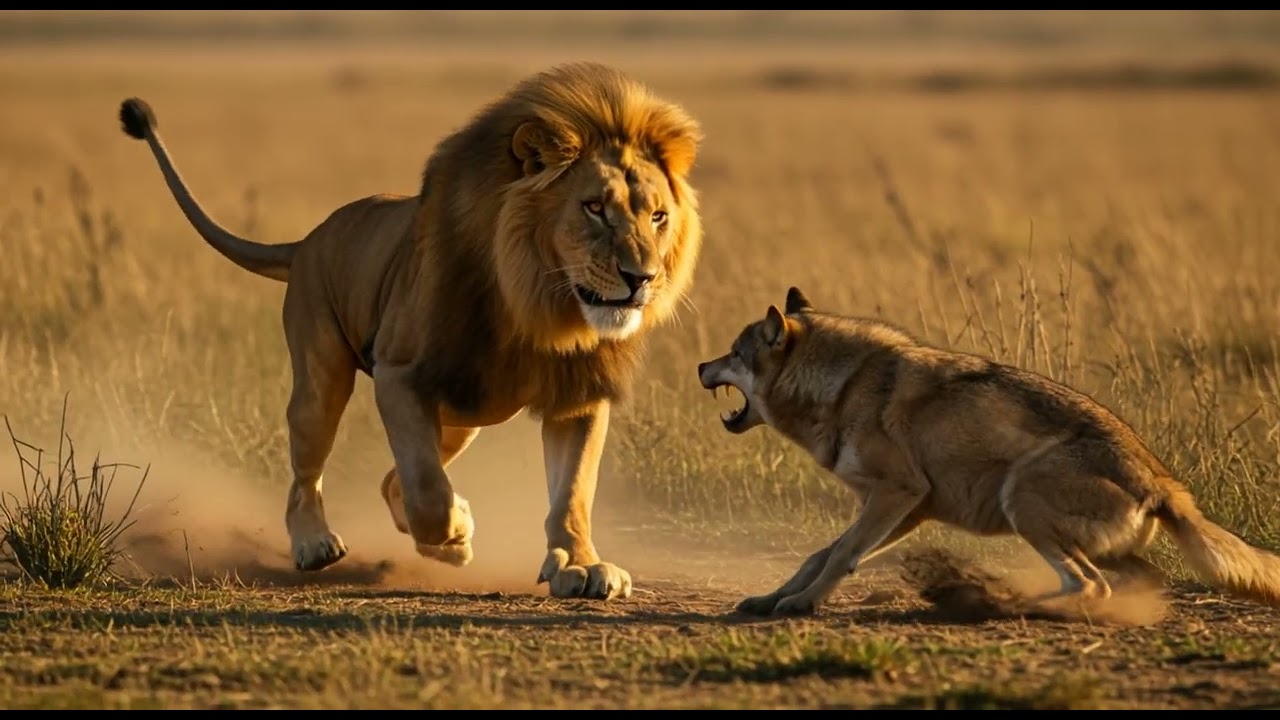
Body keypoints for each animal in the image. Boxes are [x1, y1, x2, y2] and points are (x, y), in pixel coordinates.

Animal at [116, 62, 704, 600]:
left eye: (657, 217)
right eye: (594, 208)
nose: (641, 278)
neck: (537, 304)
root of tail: (307, 240)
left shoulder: (576, 395)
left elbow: (573, 492)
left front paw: (579, 564)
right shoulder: (400, 376)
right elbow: (427, 492)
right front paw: (457, 530)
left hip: (463, 416)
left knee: (391, 476)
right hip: (324, 378)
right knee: (309, 469)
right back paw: (315, 543)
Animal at [697, 286, 1280, 616]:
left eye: (733, 352)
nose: (700, 365)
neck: (842, 387)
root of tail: (1164, 483)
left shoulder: (898, 493)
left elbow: (840, 555)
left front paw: (801, 604)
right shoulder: (908, 506)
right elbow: (822, 553)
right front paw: (773, 597)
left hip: (1021, 501)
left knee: (1090, 587)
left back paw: (1006, 603)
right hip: (1087, 540)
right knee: (1133, 583)